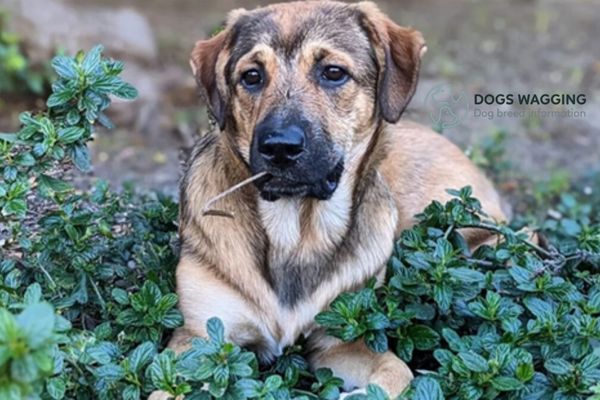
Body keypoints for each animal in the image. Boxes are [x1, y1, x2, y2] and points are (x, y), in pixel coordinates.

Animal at [151, 1, 506, 398]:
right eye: (252, 76)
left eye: (333, 73)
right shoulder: (198, 341)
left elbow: (398, 371)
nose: (280, 147)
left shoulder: (341, 336)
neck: (297, 233)